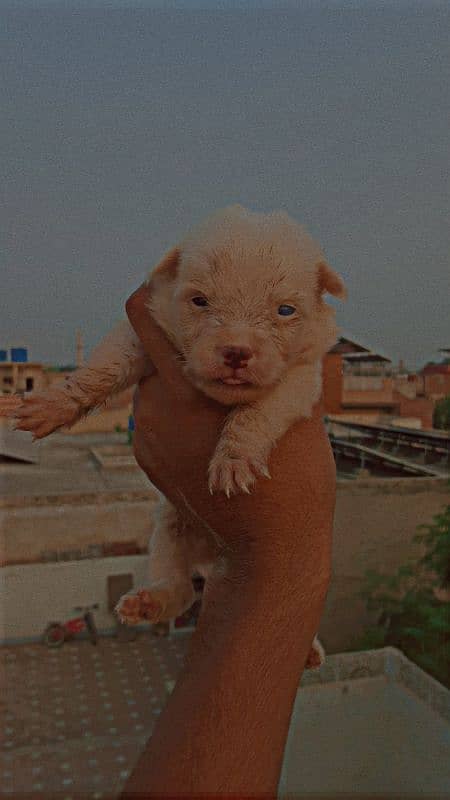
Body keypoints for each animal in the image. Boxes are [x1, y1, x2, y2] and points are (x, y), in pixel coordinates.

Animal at [14, 206, 344, 664]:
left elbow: (256, 412)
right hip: (168, 530)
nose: (236, 352)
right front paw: (50, 404)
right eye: (199, 301)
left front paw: (233, 461)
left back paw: (310, 651)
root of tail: (209, 558)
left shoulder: (299, 380)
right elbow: (103, 369)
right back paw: (147, 603)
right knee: (181, 588)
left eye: (285, 310)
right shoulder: (142, 331)